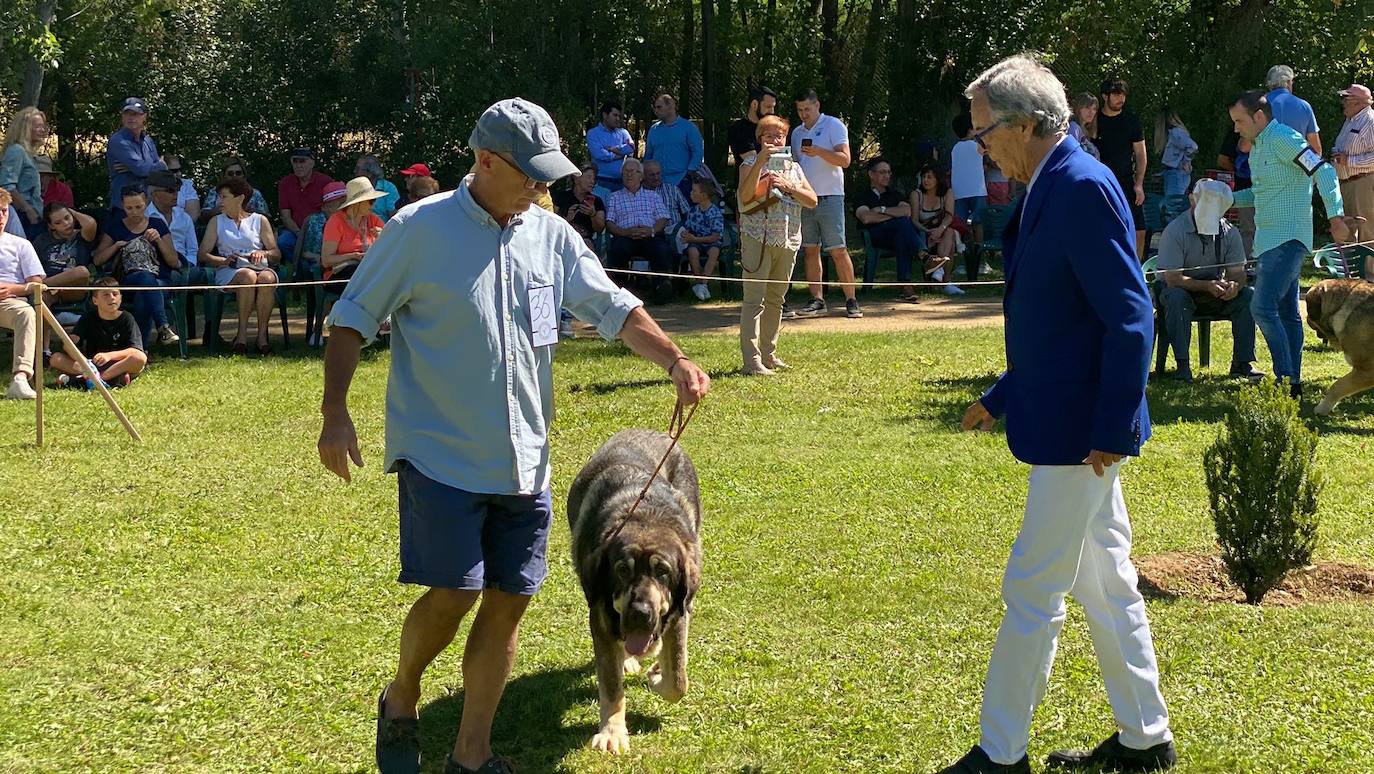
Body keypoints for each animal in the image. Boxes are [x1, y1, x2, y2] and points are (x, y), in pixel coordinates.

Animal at [566, 426, 703, 753]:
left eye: (663, 572)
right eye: (622, 570)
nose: (640, 612)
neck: (646, 517)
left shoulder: (678, 615)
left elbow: (678, 677)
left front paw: (658, 676)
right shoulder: (601, 619)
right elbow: (611, 684)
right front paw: (612, 731)